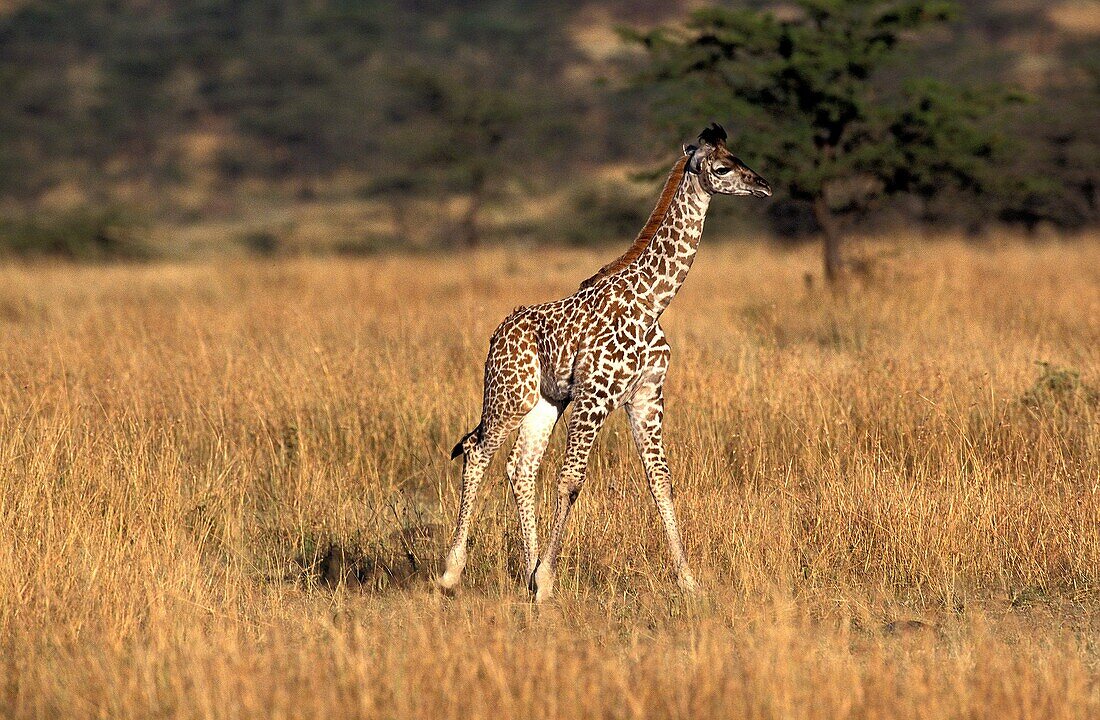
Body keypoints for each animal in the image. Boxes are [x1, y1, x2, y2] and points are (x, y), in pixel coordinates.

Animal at [437, 124, 774, 602]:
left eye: (740, 157)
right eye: (723, 167)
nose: (763, 186)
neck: (653, 302)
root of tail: (496, 335)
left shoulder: (646, 397)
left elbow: (661, 481)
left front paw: (689, 582)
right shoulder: (595, 396)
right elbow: (571, 480)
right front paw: (547, 580)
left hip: (545, 403)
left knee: (520, 467)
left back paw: (526, 571)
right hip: (509, 396)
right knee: (477, 451)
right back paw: (454, 572)